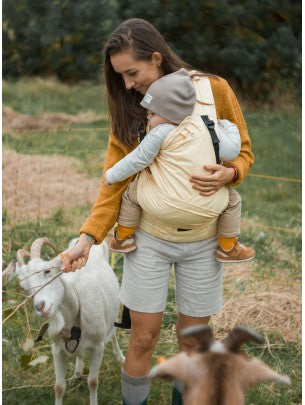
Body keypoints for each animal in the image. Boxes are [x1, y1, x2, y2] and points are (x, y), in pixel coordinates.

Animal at [12, 237, 123, 404]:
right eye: (24, 287)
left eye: (47, 271)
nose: (40, 306)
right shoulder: (57, 350)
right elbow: (59, 387)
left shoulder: (98, 348)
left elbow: (93, 382)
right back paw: (78, 370)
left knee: (114, 329)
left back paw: (120, 357)